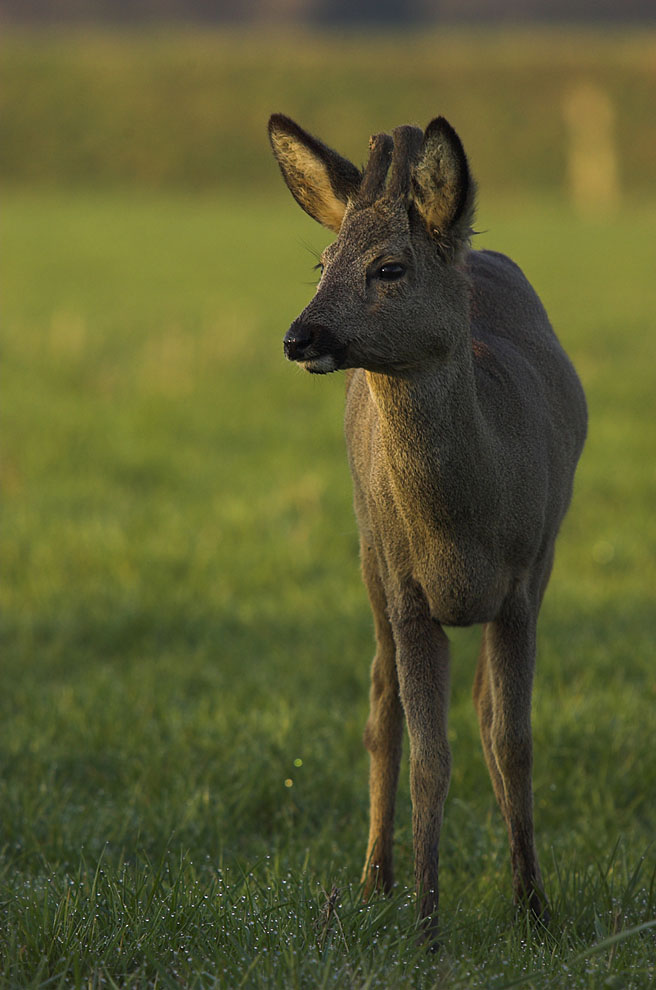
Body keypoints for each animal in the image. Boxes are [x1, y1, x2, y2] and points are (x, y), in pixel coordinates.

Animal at [270, 112, 588, 940]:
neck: (462, 527)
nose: (299, 337)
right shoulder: (407, 587)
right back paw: (373, 880)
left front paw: (534, 906)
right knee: (380, 707)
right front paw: (425, 921)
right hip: (366, 554)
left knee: (479, 707)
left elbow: (513, 741)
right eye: (321, 262)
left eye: (389, 267)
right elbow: (427, 757)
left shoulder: (524, 581)